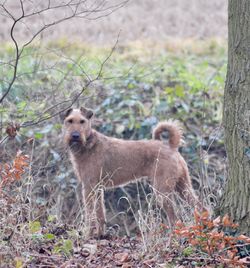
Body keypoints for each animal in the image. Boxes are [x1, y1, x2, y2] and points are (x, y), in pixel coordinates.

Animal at [62, 107, 199, 237]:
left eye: (82, 121)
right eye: (69, 121)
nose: (75, 136)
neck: (88, 144)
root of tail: (171, 146)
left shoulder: (89, 188)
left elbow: (90, 214)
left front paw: (88, 235)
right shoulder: (97, 189)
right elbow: (100, 214)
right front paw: (100, 235)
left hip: (163, 191)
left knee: (175, 217)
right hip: (183, 186)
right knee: (198, 205)